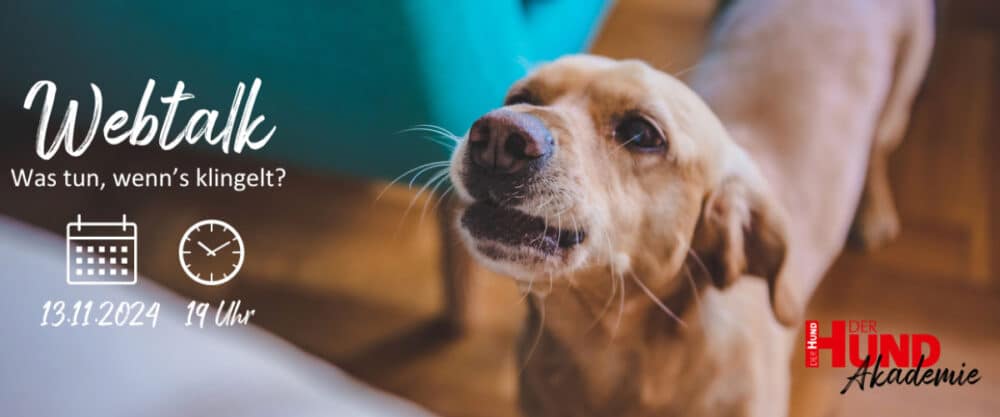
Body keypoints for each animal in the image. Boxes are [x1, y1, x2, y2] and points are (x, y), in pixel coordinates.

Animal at [442, 1, 932, 414]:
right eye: (518, 98)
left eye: (642, 133)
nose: (497, 138)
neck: (606, 348)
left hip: (899, 99)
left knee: (878, 149)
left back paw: (873, 211)